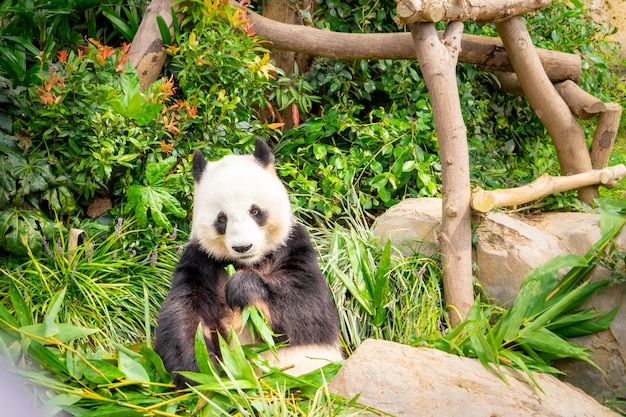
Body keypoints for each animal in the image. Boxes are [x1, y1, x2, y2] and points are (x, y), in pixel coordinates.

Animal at [155, 136, 342, 386]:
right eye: (221, 218)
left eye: (255, 211)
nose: (243, 247)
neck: (249, 262)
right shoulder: (202, 260)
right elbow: (183, 313)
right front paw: (199, 371)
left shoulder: (293, 247)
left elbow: (308, 308)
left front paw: (242, 287)